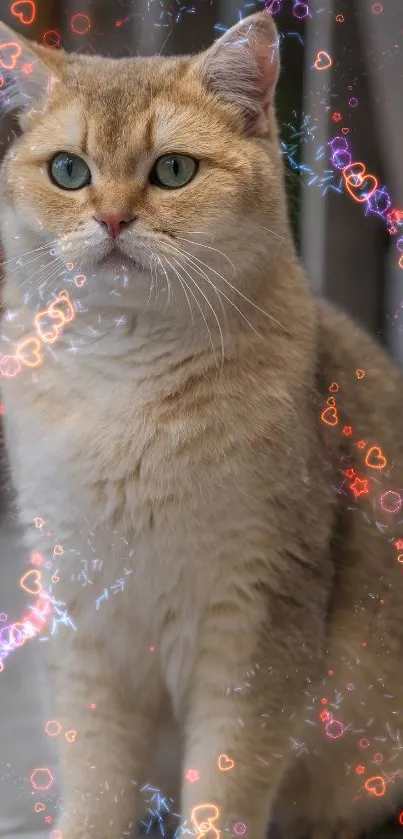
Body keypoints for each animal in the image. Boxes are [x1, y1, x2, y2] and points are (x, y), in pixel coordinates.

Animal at [0, 13, 403, 839]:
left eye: (174, 170)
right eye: (68, 170)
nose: (112, 217)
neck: (122, 388)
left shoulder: (257, 611)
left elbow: (228, 773)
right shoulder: (78, 604)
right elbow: (94, 767)